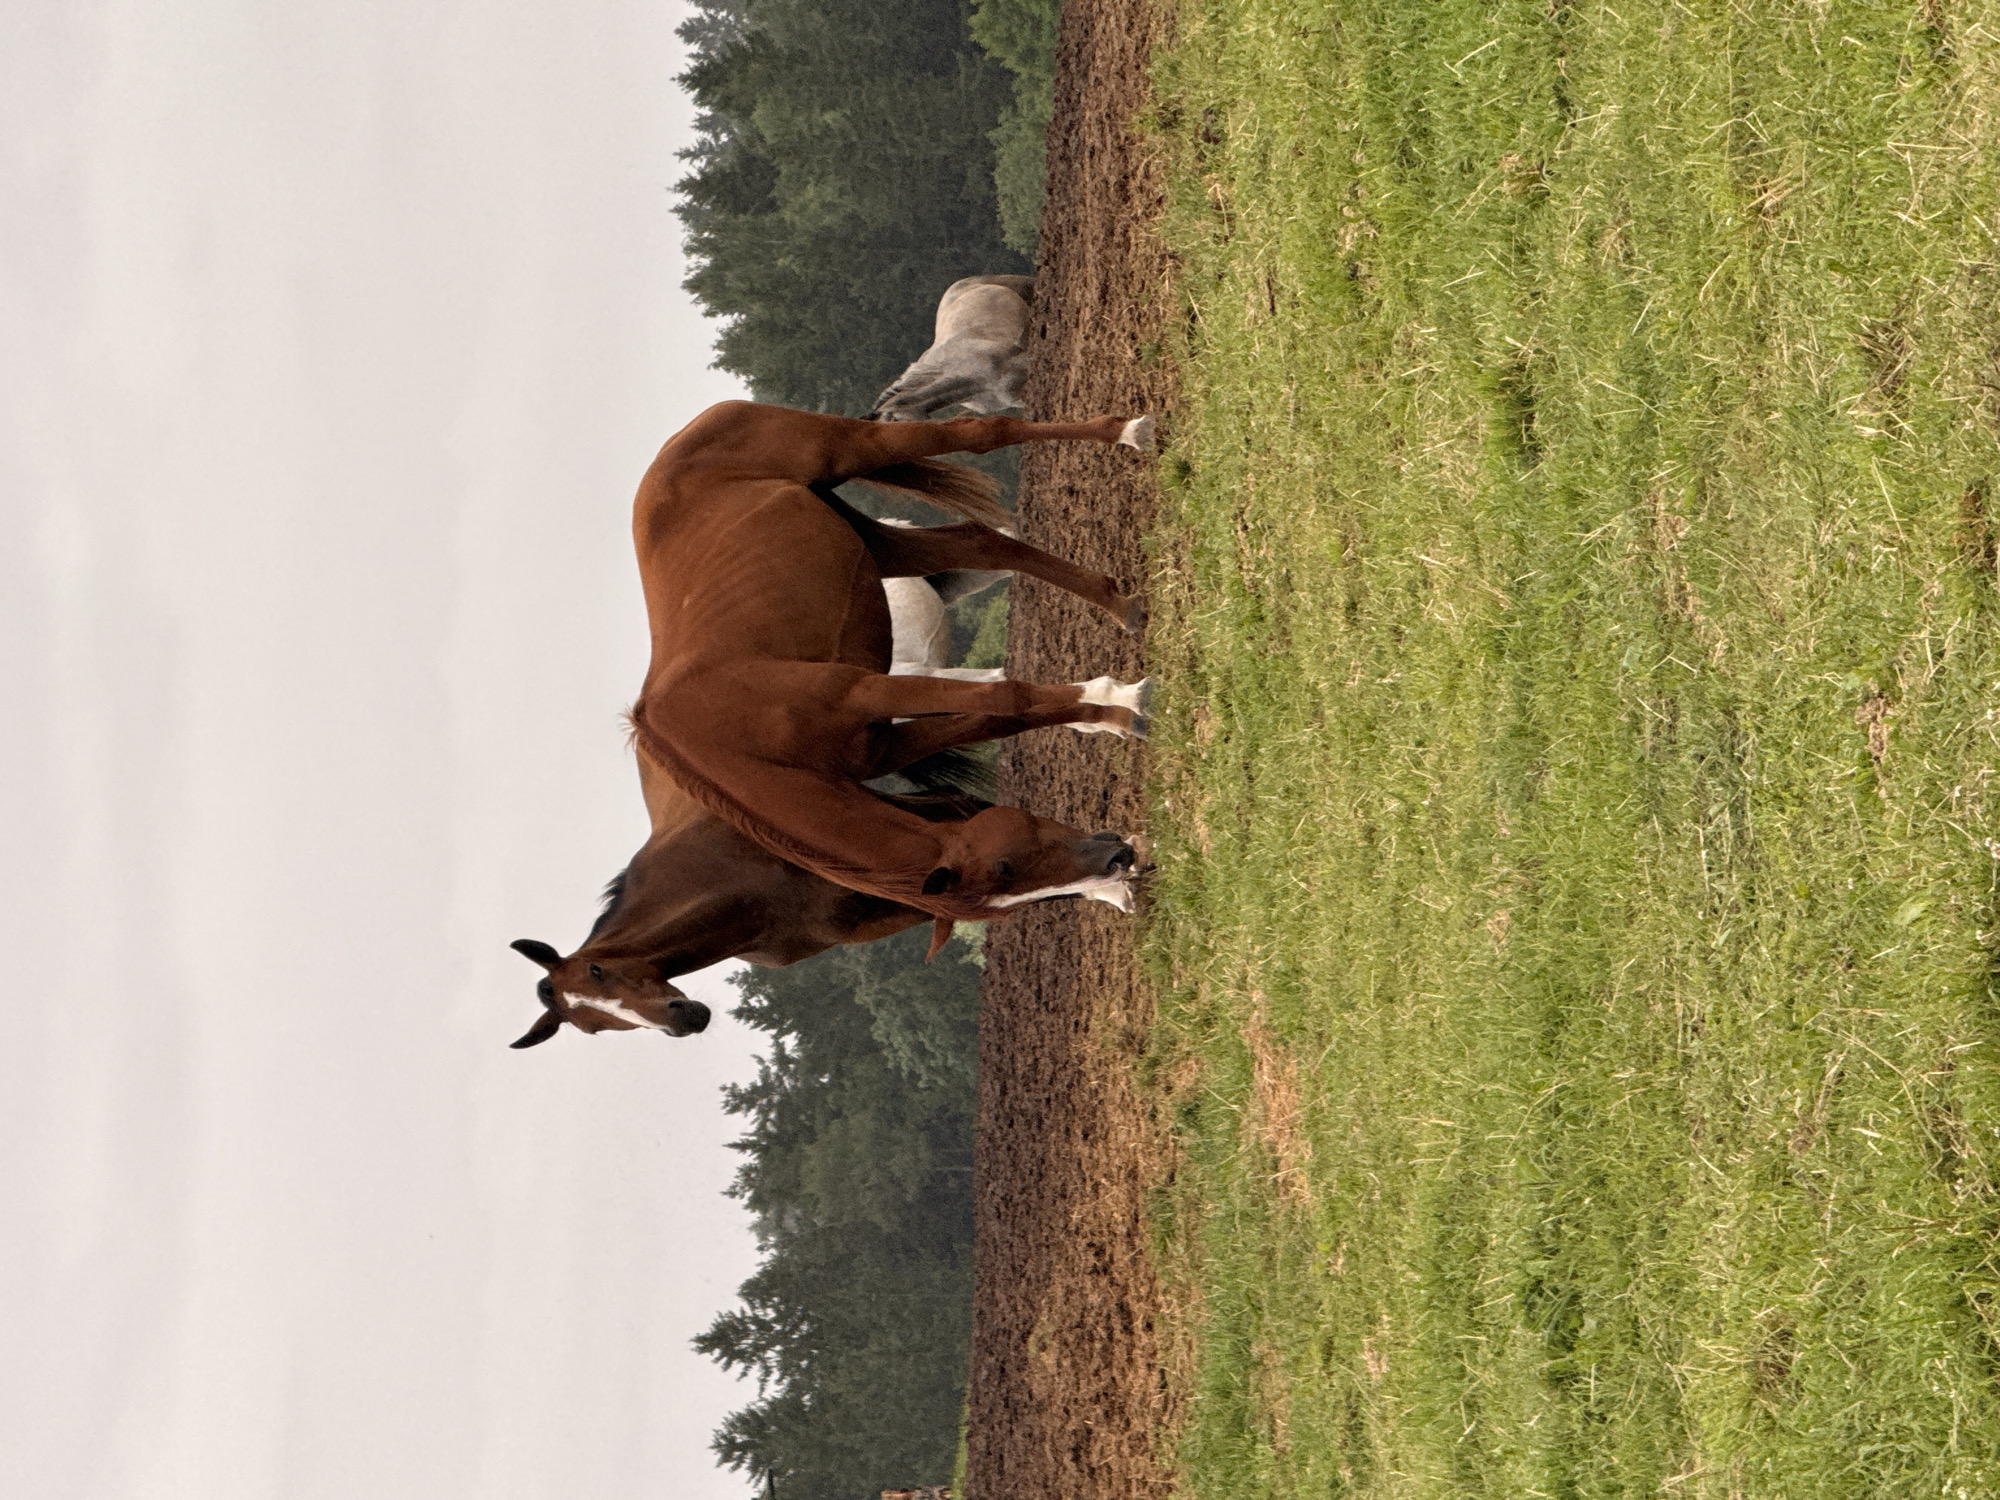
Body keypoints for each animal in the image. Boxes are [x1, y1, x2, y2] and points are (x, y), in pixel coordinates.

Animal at [626, 399, 1156, 933]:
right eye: (1008, 874)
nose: (1117, 861)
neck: (735, 739)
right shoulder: (885, 745)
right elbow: (999, 718)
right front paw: (1113, 719)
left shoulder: (865, 690)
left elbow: (1006, 697)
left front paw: (1120, 699)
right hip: (878, 547)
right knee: (979, 543)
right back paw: (1121, 605)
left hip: (852, 450)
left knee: (981, 432)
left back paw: (1130, 432)